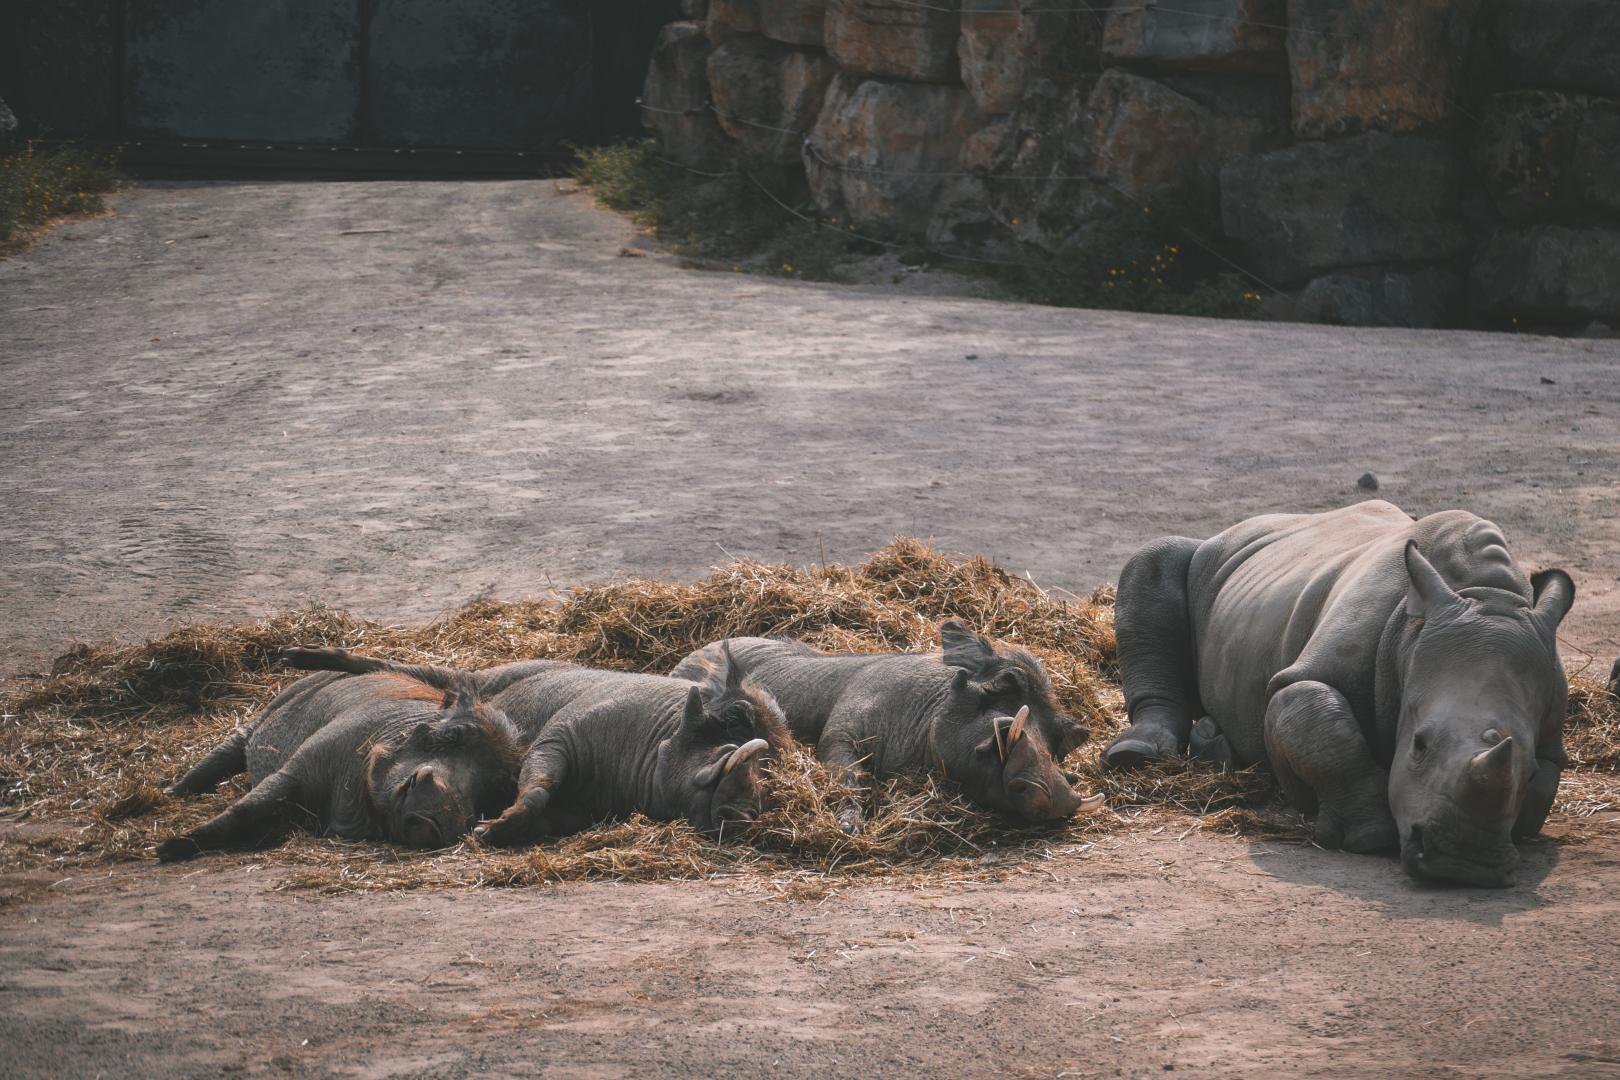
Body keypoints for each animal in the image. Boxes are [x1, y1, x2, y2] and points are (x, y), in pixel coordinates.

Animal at [157, 670, 523, 861]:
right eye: (454, 734)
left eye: (497, 790)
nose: (438, 822)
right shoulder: (295, 769)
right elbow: (246, 809)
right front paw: (167, 849)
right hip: (258, 719)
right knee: (219, 757)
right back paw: (169, 794)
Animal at [279, 645, 792, 844]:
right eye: (730, 721)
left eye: (770, 763)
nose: (743, 815)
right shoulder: (558, 739)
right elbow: (538, 786)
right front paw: (491, 830)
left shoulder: (577, 812)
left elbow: (545, 809)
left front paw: (497, 828)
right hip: (478, 677)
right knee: (413, 670)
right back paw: (296, 657)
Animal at [669, 618, 1104, 834]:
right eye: (1008, 683)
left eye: (1066, 739)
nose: (1055, 799)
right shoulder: (839, 735)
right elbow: (849, 779)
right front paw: (849, 827)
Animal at [1103, 501, 1575, 888]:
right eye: (1418, 745)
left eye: (1529, 770)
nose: (1464, 864)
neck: (1480, 594)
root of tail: (1236, 529)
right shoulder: (1310, 672)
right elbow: (1321, 726)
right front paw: (1369, 837)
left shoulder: (1551, 729)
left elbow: (1540, 797)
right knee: (1154, 558)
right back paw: (1133, 755)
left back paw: (1215, 748)